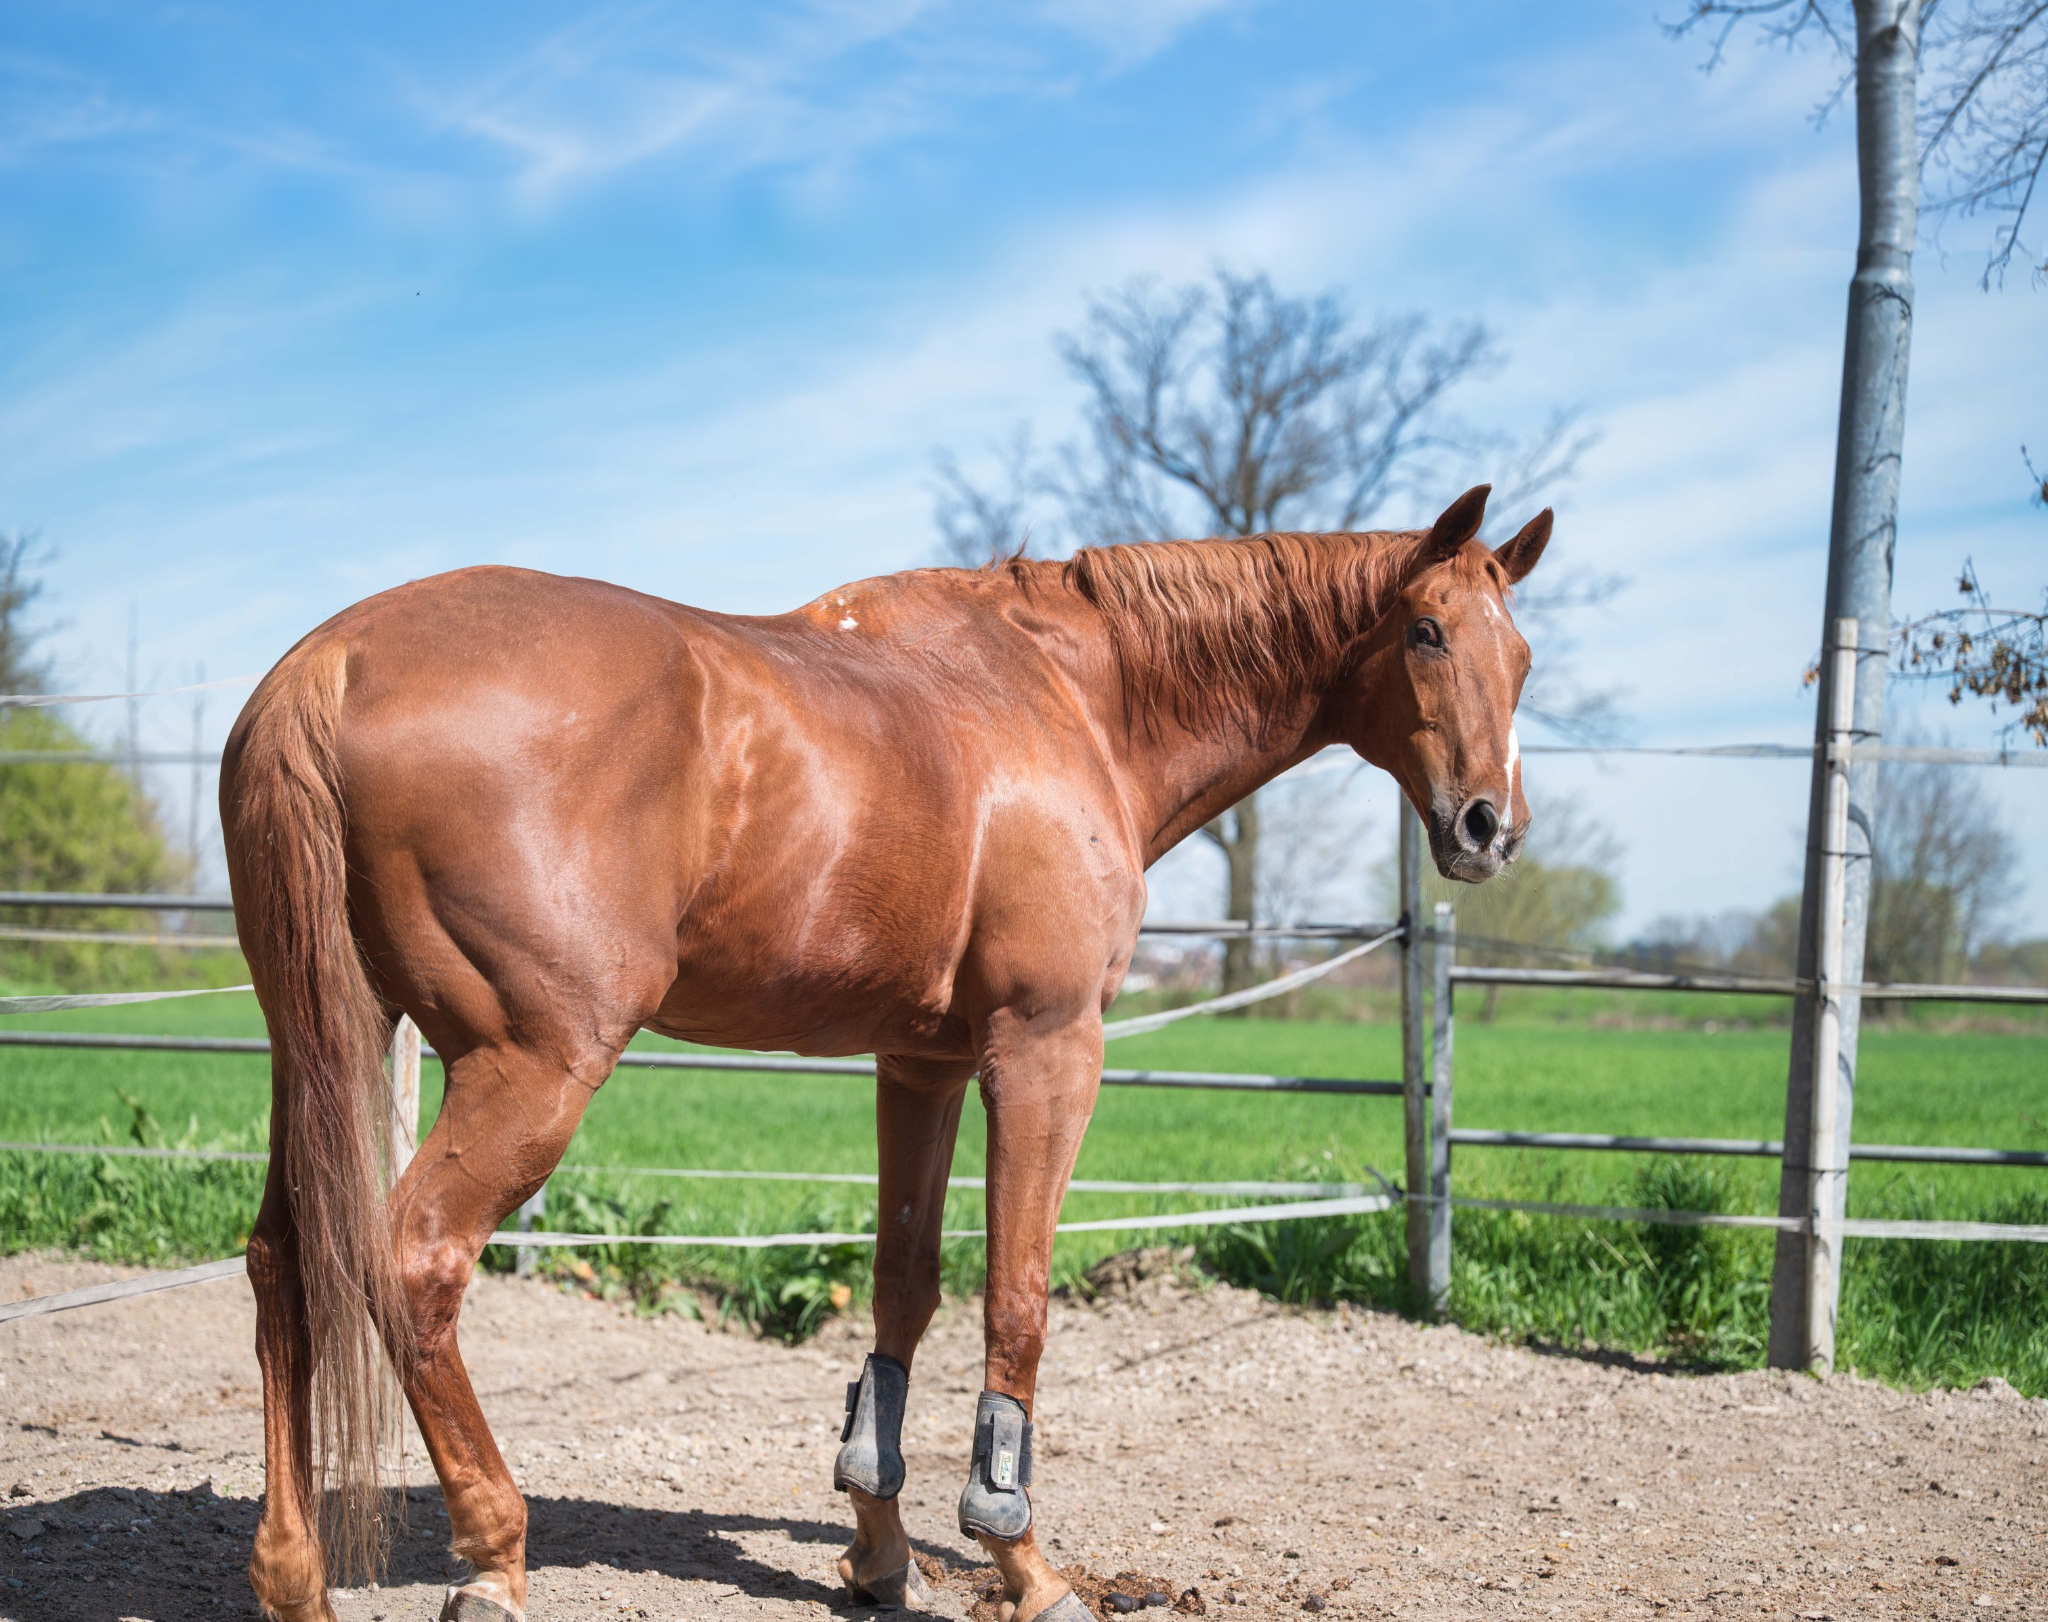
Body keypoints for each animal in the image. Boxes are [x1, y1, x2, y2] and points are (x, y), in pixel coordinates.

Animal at [221, 482, 1548, 1622]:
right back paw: (494, 1554)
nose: (1490, 826)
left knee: (286, 1259)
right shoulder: (1045, 1050)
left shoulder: (921, 1063)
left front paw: (877, 1547)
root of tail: (330, 660)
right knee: (411, 1258)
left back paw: (293, 1572)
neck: (1067, 699)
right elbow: (1016, 1298)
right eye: (1425, 630)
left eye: (1521, 656)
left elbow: (901, 1284)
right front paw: (1021, 1558)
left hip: (317, 1044)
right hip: (529, 1063)